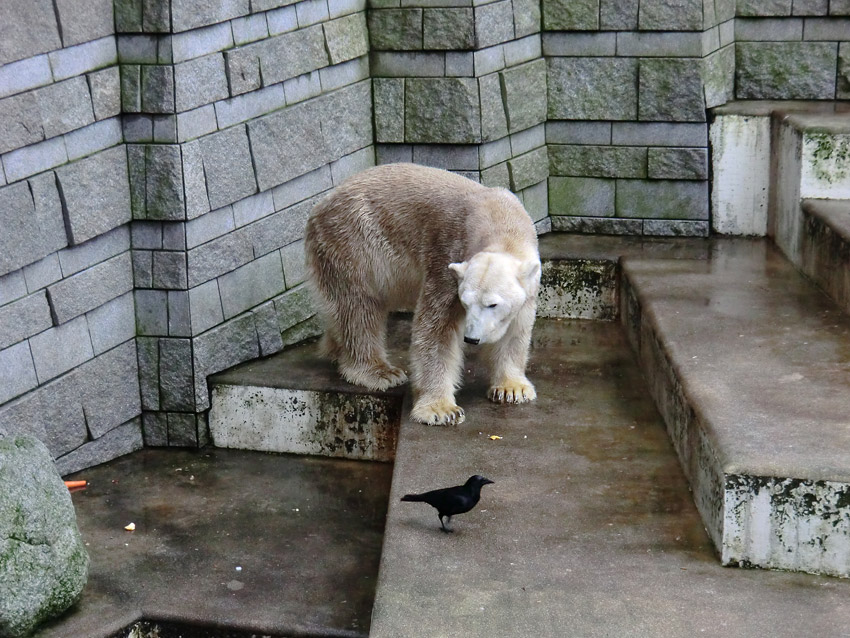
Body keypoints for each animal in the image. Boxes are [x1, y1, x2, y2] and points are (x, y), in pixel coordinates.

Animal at [304, 162, 536, 428]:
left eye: (492, 304)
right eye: (466, 303)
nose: (471, 339)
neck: (501, 220)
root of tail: (318, 208)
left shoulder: (528, 284)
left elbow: (516, 329)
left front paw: (512, 388)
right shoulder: (447, 256)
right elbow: (436, 331)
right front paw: (441, 409)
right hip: (351, 241)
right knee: (358, 308)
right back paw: (380, 371)